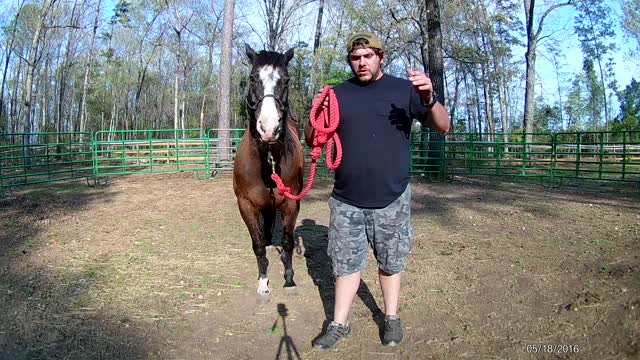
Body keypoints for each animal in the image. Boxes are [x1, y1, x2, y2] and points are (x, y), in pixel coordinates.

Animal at [234, 44, 306, 296]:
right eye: (252, 78)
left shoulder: (291, 204)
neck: (267, 161)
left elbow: (287, 242)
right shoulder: (246, 205)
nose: (268, 129)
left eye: (286, 80)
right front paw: (263, 281)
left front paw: (289, 279)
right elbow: (257, 244)